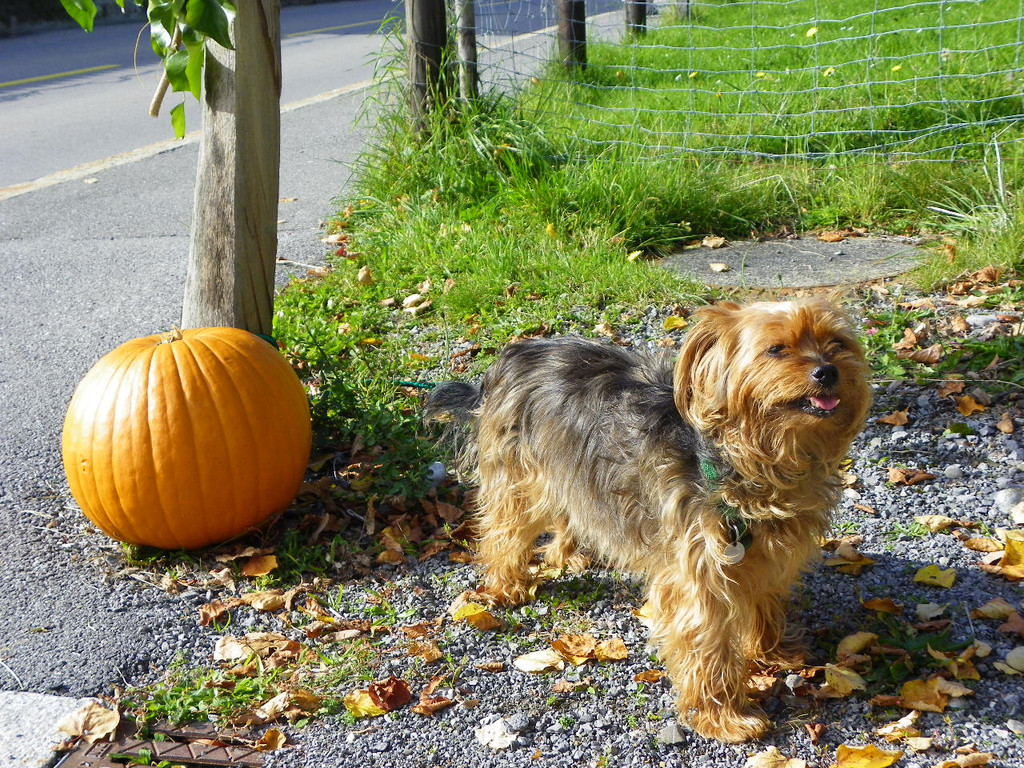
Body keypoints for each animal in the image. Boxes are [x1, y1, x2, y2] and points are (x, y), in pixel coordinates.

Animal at [424, 297, 870, 742]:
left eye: (837, 344)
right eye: (776, 349)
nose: (827, 371)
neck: (757, 463)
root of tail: (515, 354)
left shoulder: (769, 554)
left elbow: (766, 602)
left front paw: (775, 651)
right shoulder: (699, 574)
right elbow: (708, 645)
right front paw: (723, 717)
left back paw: (566, 555)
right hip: (520, 475)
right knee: (505, 529)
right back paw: (505, 586)